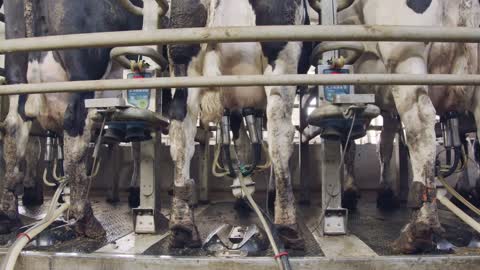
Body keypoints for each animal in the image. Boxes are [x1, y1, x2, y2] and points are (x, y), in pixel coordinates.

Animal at [0, 0, 142, 236]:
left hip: (17, 78)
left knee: (13, 130)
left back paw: (9, 215)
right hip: (82, 76)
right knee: (75, 136)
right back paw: (85, 218)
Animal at [169, 0, 310, 249]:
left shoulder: (237, 107)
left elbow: (241, 142)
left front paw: (243, 188)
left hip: (183, 63)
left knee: (180, 135)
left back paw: (181, 226)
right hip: (282, 60)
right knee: (279, 134)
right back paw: (287, 225)